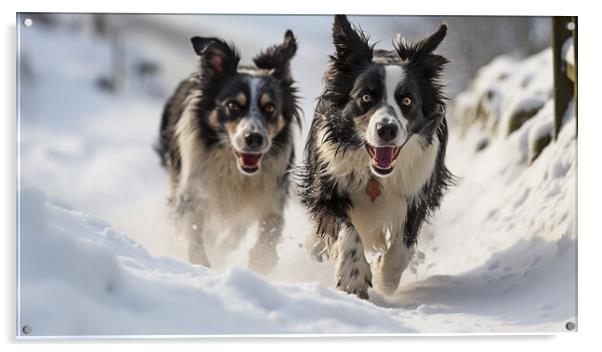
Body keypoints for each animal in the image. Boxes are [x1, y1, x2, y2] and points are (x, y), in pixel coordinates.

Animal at [157, 30, 300, 272]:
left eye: (270, 107)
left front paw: (260, 264)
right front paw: (203, 265)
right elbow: (193, 231)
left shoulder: (270, 192)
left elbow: (267, 231)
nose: (254, 138)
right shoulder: (193, 190)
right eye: (233, 105)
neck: (234, 169)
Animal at [298, 15, 450, 298]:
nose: (387, 129)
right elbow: (345, 229)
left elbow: (404, 246)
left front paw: (384, 278)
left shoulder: (418, 189)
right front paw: (353, 277)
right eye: (366, 97)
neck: (375, 175)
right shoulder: (327, 184)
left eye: (407, 101)